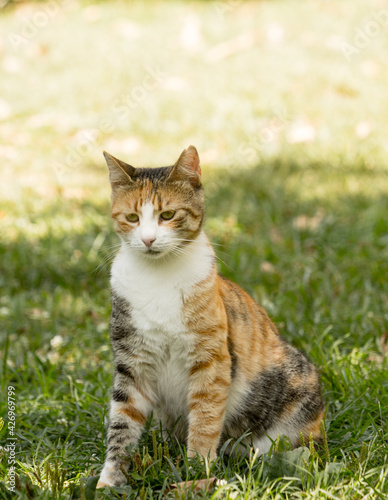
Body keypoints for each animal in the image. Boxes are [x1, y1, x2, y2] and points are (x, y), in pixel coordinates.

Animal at [97, 146, 324, 488]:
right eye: (132, 217)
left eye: (167, 215)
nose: (148, 240)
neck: (158, 276)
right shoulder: (132, 363)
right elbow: (121, 426)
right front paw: (109, 482)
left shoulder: (211, 360)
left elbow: (205, 417)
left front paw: (197, 471)